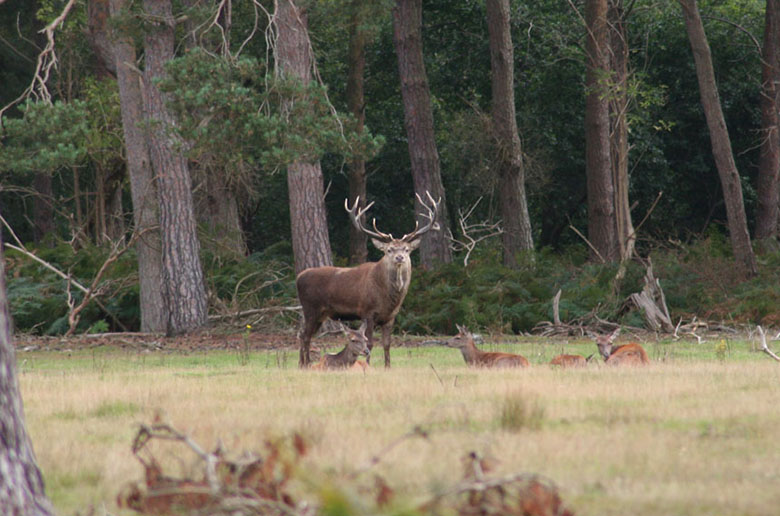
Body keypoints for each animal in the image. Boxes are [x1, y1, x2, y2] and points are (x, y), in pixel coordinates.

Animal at [296, 192, 438, 366]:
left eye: (406, 249)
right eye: (389, 250)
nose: (399, 257)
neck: (388, 297)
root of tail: (298, 277)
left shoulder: (390, 317)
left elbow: (387, 344)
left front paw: (388, 367)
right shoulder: (367, 311)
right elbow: (369, 342)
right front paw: (368, 365)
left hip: (321, 313)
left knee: (304, 334)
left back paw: (302, 364)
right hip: (311, 308)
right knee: (305, 336)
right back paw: (306, 364)